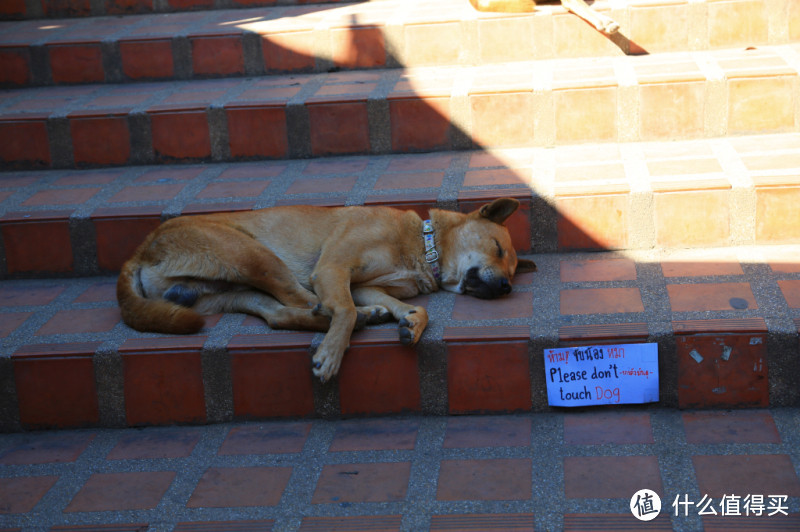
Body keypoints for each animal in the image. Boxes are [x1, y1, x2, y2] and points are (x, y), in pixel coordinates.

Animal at [115, 197, 536, 380]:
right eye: (498, 249)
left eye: (513, 271)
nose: (505, 287)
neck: (422, 247)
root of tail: (140, 250)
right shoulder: (334, 269)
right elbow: (344, 309)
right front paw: (331, 355)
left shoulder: (363, 285)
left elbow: (413, 308)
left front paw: (411, 322)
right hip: (255, 255)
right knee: (308, 301)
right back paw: (355, 322)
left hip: (236, 289)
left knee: (281, 315)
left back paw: (357, 317)